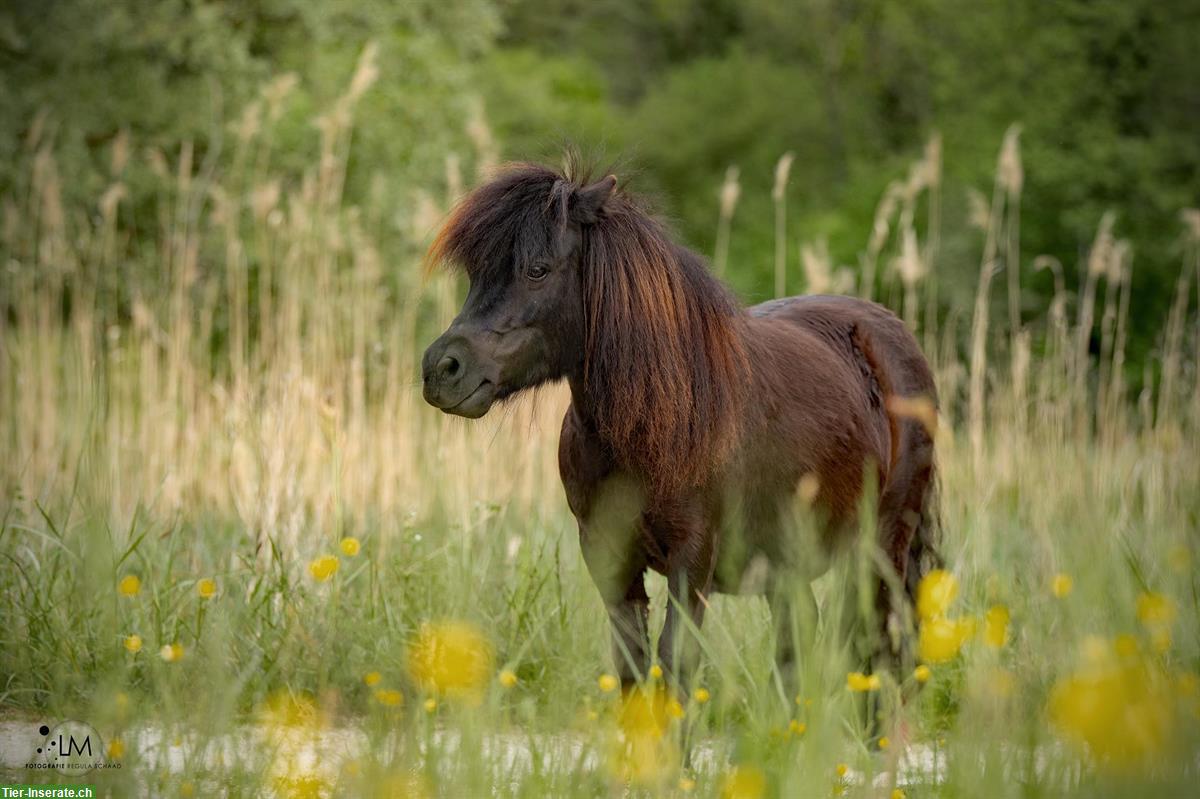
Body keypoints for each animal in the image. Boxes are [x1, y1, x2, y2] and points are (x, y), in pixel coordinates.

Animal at [422, 160, 936, 686]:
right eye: (476, 274)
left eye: (537, 269)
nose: (442, 369)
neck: (652, 425)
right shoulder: (611, 562)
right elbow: (632, 666)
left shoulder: (692, 562)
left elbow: (676, 665)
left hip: (881, 550)